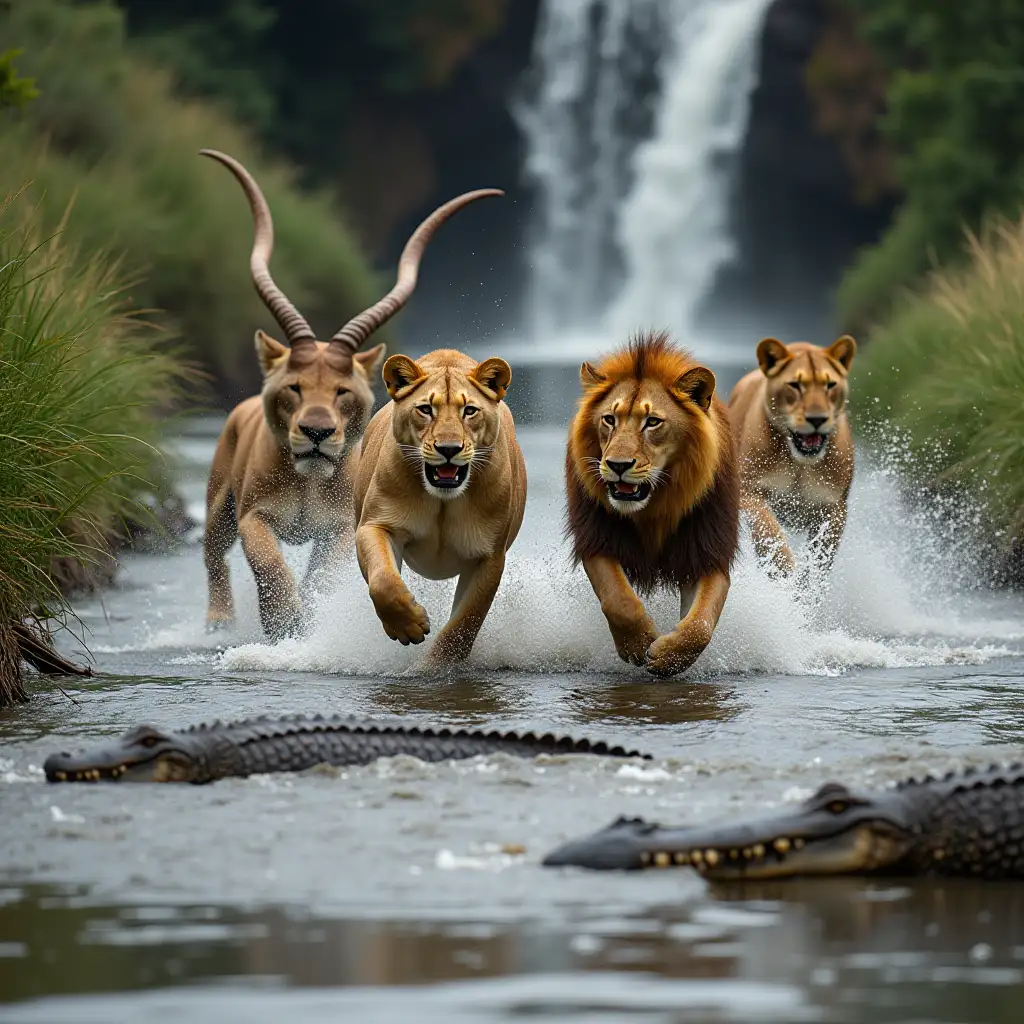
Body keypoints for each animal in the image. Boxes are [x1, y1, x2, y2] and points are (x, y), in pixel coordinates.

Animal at [198, 147, 499, 634]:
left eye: (342, 391)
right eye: (294, 386)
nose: (317, 433)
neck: (308, 482)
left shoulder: (341, 526)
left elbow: (323, 577)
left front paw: (308, 616)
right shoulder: (252, 515)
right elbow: (268, 563)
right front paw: (284, 623)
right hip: (218, 502)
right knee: (211, 554)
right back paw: (219, 621)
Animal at [354, 348, 528, 667]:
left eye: (469, 411)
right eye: (425, 409)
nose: (449, 449)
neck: (442, 501)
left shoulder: (489, 556)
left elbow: (465, 621)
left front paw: (431, 667)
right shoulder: (376, 525)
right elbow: (383, 580)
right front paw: (409, 626)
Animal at [565, 331, 741, 675]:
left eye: (652, 422)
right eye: (609, 419)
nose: (618, 465)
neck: (656, 508)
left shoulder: (707, 549)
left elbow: (700, 624)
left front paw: (667, 656)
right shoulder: (597, 537)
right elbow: (618, 599)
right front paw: (638, 644)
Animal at [729, 335, 856, 577]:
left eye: (830, 385)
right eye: (795, 385)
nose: (817, 419)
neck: (800, 464)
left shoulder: (834, 509)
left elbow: (818, 561)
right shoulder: (750, 492)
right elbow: (770, 535)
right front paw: (784, 575)